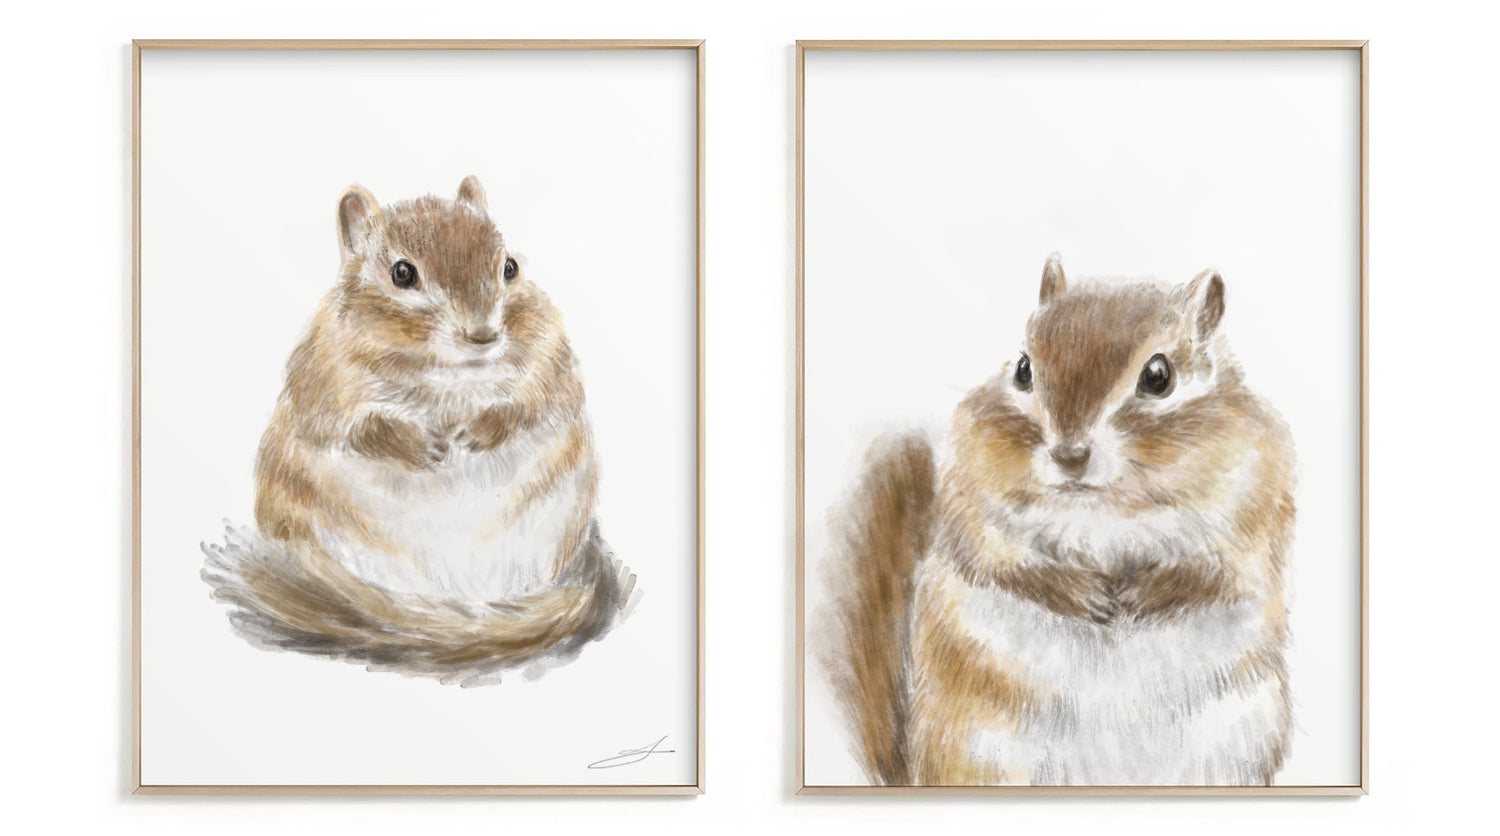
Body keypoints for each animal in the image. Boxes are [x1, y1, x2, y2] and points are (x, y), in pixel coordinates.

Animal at [202, 176, 634, 685]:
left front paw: (479, 431)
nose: (483, 335)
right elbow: (359, 429)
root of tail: (455, 598)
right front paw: (419, 446)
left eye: (509, 267)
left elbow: (534, 403)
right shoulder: (323, 383)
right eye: (402, 274)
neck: (448, 372)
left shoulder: (551, 360)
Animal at [820, 255, 1296, 785]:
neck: (1105, 506)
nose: (1069, 455)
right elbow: (1002, 563)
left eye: (1159, 376)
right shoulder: (971, 503)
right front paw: (1081, 594)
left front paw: (1145, 593)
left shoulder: (1255, 511)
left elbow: (1218, 575)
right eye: (1023, 368)